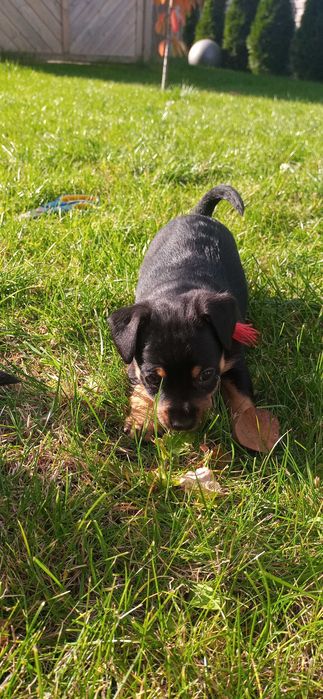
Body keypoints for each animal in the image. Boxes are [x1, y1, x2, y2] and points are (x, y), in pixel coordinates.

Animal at [108, 183, 278, 452]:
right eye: (152, 378)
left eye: (206, 375)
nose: (182, 424)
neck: (176, 292)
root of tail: (199, 214)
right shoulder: (133, 365)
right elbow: (141, 391)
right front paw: (141, 421)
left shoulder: (235, 359)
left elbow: (242, 399)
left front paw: (253, 431)